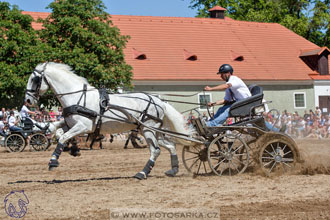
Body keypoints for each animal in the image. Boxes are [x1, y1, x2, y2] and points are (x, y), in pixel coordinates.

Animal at [25, 62, 193, 179]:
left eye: (34, 79)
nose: (27, 100)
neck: (77, 96)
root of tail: (159, 101)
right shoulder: (71, 123)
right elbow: (60, 132)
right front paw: (73, 149)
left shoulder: (84, 126)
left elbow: (63, 137)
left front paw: (53, 161)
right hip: (148, 130)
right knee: (170, 146)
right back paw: (173, 170)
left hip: (148, 129)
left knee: (155, 150)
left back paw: (143, 173)